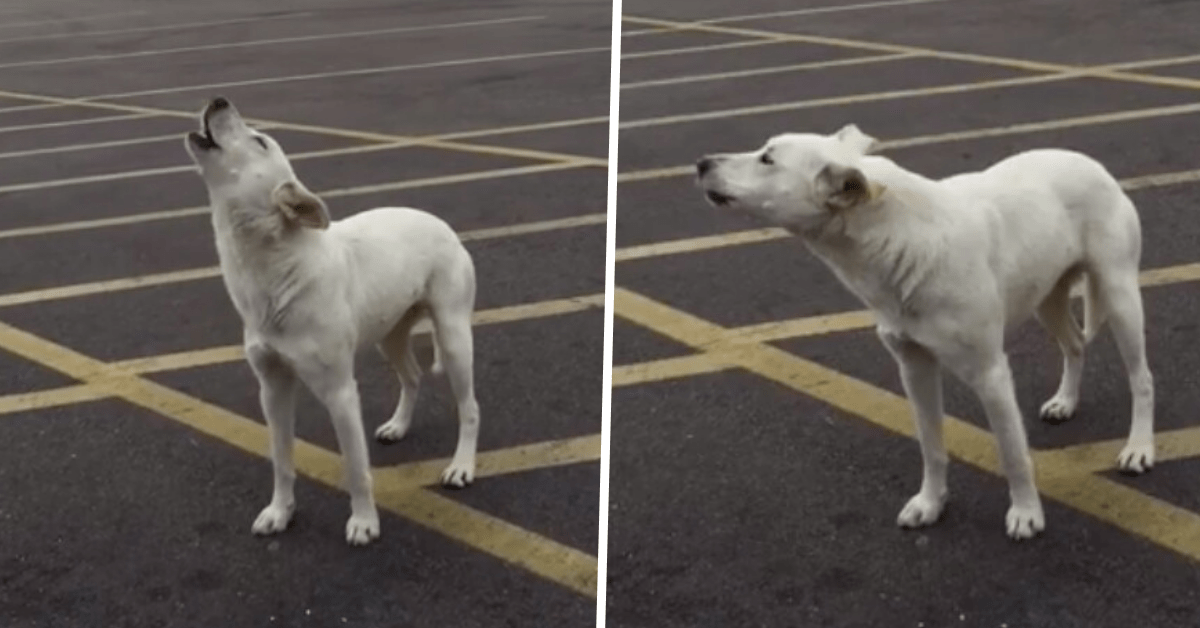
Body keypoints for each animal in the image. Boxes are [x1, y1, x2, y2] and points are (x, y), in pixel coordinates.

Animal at [184, 97, 480, 545]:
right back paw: (398, 425)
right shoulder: (272, 388)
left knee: (470, 408)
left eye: (260, 141)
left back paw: (462, 466)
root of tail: (440, 223)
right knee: (412, 376)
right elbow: (281, 459)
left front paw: (364, 521)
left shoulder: (340, 392)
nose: (220, 100)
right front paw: (280, 512)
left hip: (453, 336)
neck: (277, 270)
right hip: (390, 334)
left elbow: (355, 468)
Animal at [700, 124, 1156, 540]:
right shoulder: (913, 366)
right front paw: (931, 503)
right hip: (1047, 297)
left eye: (767, 159)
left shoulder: (990, 373)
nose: (701, 163)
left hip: (1118, 295)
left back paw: (1139, 448)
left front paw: (1026, 512)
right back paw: (1066, 401)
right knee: (1075, 344)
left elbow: (1012, 451)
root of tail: (1093, 165)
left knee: (1142, 378)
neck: (899, 235)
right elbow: (931, 446)